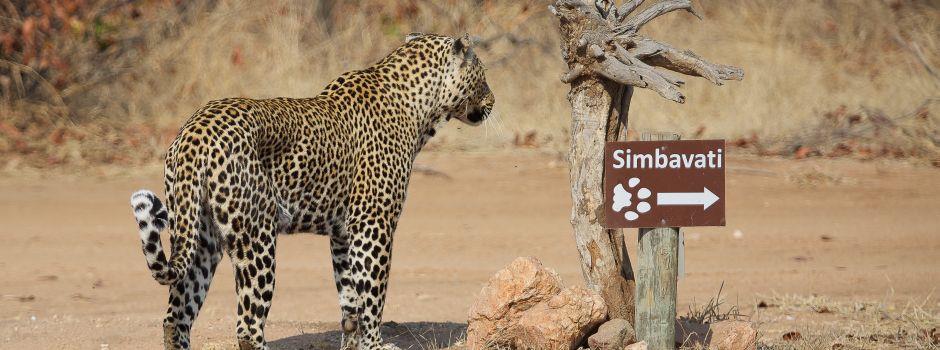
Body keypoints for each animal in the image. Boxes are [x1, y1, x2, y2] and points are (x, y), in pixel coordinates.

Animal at [129, 33, 496, 350]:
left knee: (175, 318)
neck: (421, 110)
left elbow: (351, 302)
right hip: (256, 238)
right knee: (247, 326)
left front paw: (354, 344)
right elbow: (373, 295)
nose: (492, 101)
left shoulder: (343, 233)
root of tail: (195, 130)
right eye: (482, 75)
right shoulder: (373, 224)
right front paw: (376, 344)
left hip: (200, 237)